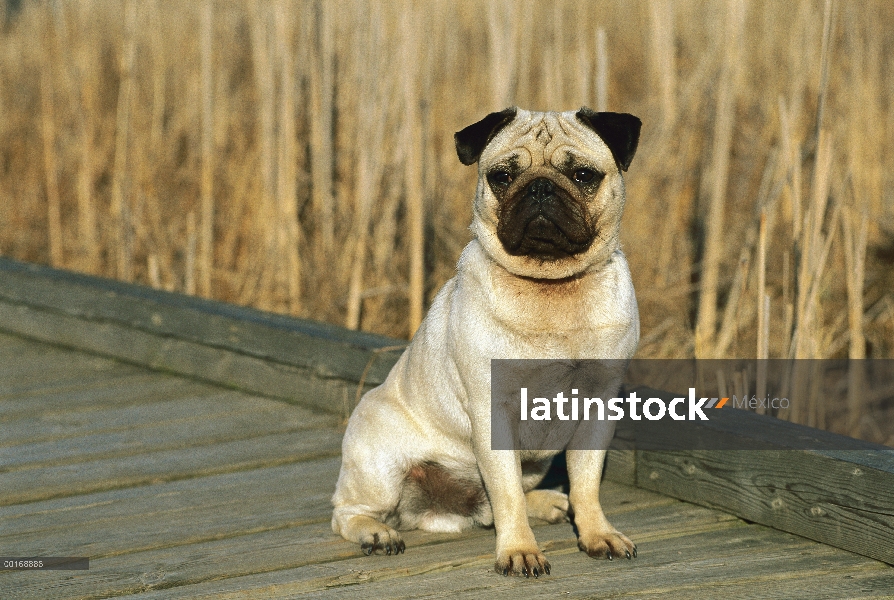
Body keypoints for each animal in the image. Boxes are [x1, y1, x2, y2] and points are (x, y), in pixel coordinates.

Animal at [332, 108, 640, 576]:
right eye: (502, 176)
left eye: (584, 175)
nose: (540, 187)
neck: (552, 291)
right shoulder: (493, 411)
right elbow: (506, 492)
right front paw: (519, 550)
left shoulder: (598, 406)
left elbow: (586, 484)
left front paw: (596, 533)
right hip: (380, 467)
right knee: (346, 512)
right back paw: (377, 533)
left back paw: (546, 502)